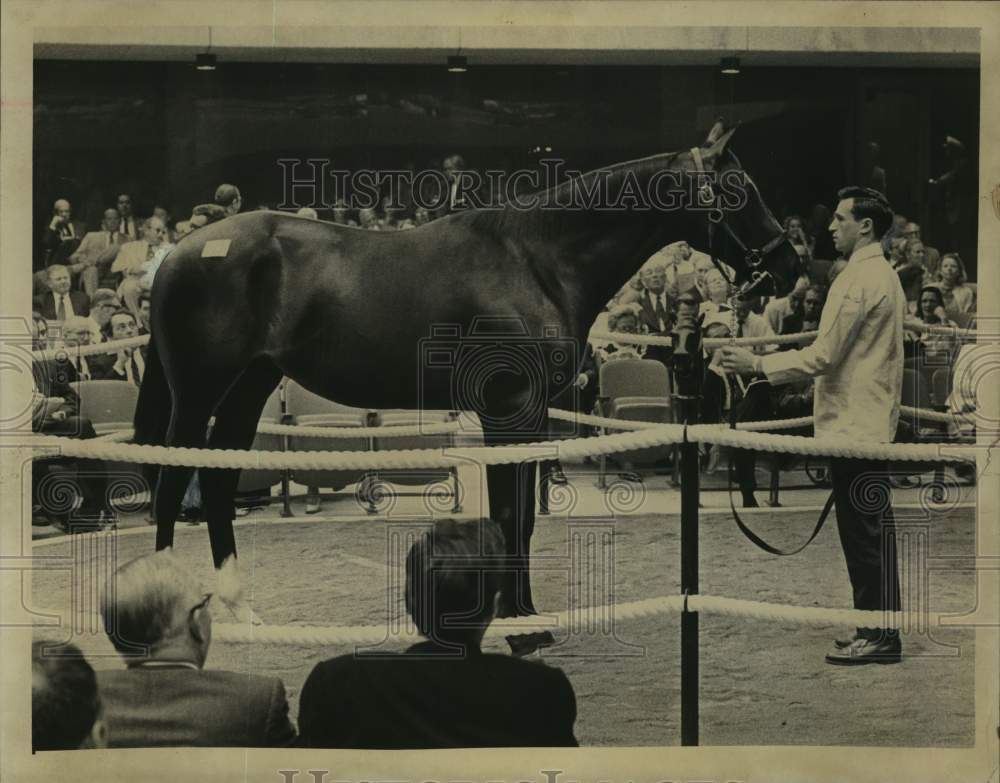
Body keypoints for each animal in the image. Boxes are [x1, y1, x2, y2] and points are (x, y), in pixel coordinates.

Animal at [133, 121, 802, 621]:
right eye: (740, 188)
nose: (789, 267)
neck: (536, 260)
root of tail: (177, 254)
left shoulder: (530, 415)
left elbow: (524, 518)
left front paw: (523, 608)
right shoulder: (508, 407)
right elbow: (509, 516)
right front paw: (510, 614)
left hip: (248, 387)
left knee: (217, 481)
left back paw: (238, 605)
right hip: (196, 392)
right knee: (171, 485)